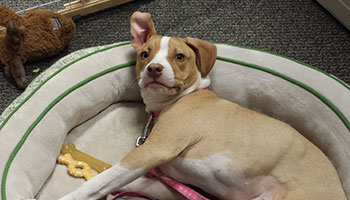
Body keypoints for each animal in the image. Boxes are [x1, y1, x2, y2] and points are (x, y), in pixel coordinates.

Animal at [60, 12, 348, 200]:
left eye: (180, 57)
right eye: (145, 54)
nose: (154, 69)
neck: (176, 100)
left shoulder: (154, 149)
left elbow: (100, 181)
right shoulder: (167, 186)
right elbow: (119, 181)